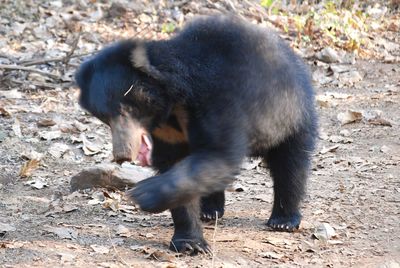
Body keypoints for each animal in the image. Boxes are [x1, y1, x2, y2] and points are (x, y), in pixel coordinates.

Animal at [75, 15, 318, 254]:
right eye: (104, 117)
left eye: (125, 109)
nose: (122, 155)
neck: (171, 107)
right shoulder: (167, 133)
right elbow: (178, 164)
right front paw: (190, 243)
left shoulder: (220, 103)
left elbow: (219, 154)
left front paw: (144, 194)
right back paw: (209, 211)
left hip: (292, 116)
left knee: (290, 166)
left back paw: (283, 220)